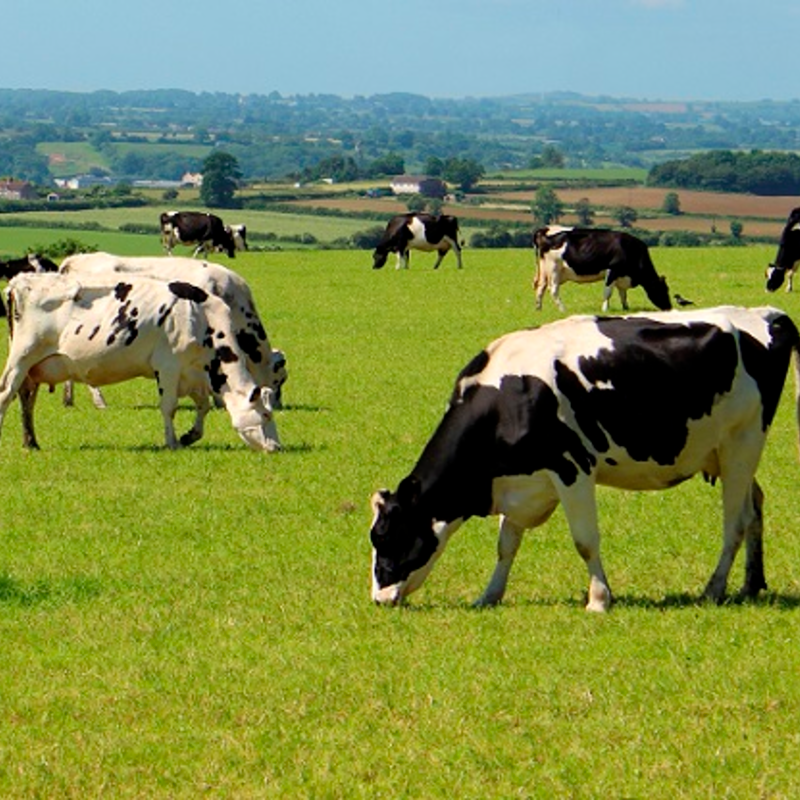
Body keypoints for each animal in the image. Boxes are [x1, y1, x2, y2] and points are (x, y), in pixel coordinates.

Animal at [0, 274, 282, 450]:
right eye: (266, 414)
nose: (277, 447)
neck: (202, 318)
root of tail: (20, 280)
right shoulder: (168, 367)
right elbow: (169, 407)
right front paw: (172, 443)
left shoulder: (192, 374)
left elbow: (203, 407)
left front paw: (190, 436)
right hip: (21, 358)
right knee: (6, 394)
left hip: (35, 368)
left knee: (26, 399)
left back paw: (31, 442)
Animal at [372, 306, 796, 612]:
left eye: (386, 536)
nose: (378, 599)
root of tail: (766, 313)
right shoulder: (525, 483)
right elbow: (507, 544)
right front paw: (489, 595)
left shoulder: (571, 469)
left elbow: (585, 541)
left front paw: (599, 599)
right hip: (725, 454)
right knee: (755, 509)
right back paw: (751, 584)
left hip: (743, 443)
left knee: (735, 522)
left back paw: (714, 589)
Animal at [536, 227, 672, 314]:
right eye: (662, 290)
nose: (669, 307)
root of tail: (547, 235)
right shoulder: (613, 270)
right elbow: (608, 292)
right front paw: (605, 309)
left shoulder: (621, 276)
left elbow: (623, 294)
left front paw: (626, 308)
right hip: (554, 269)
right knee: (553, 290)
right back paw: (564, 310)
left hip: (545, 272)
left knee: (540, 287)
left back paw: (538, 309)